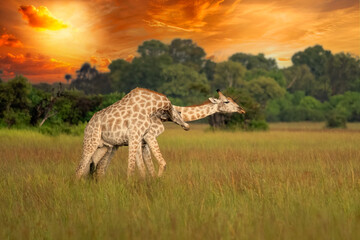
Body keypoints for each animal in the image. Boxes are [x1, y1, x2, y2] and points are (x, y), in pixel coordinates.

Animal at [93, 89, 245, 177]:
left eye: (232, 100)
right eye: (226, 101)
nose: (242, 109)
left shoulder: (142, 141)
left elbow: (147, 168)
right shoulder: (148, 136)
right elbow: (157, 165)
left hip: (112, 146)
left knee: (99, 167)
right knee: (99, 167)